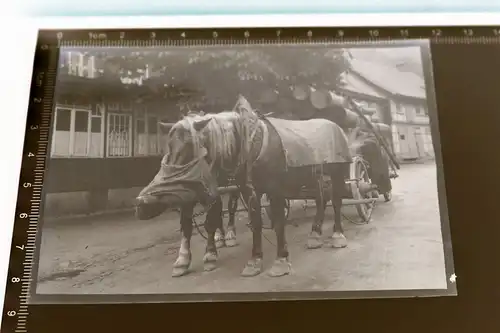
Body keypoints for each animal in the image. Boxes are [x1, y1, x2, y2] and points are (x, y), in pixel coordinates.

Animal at [136, 96, 352, 278]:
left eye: (190, 147)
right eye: (169, 147)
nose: (142, 203)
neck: (251, 145)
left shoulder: (275, 190)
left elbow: (278, 223)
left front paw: (281, 261)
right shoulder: (248, 190)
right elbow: (254, 223)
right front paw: (254, 261)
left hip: (338, 173)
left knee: (337, 200)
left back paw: (338, 236)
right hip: (315, 175)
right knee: (322, 198)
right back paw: (315, 235)